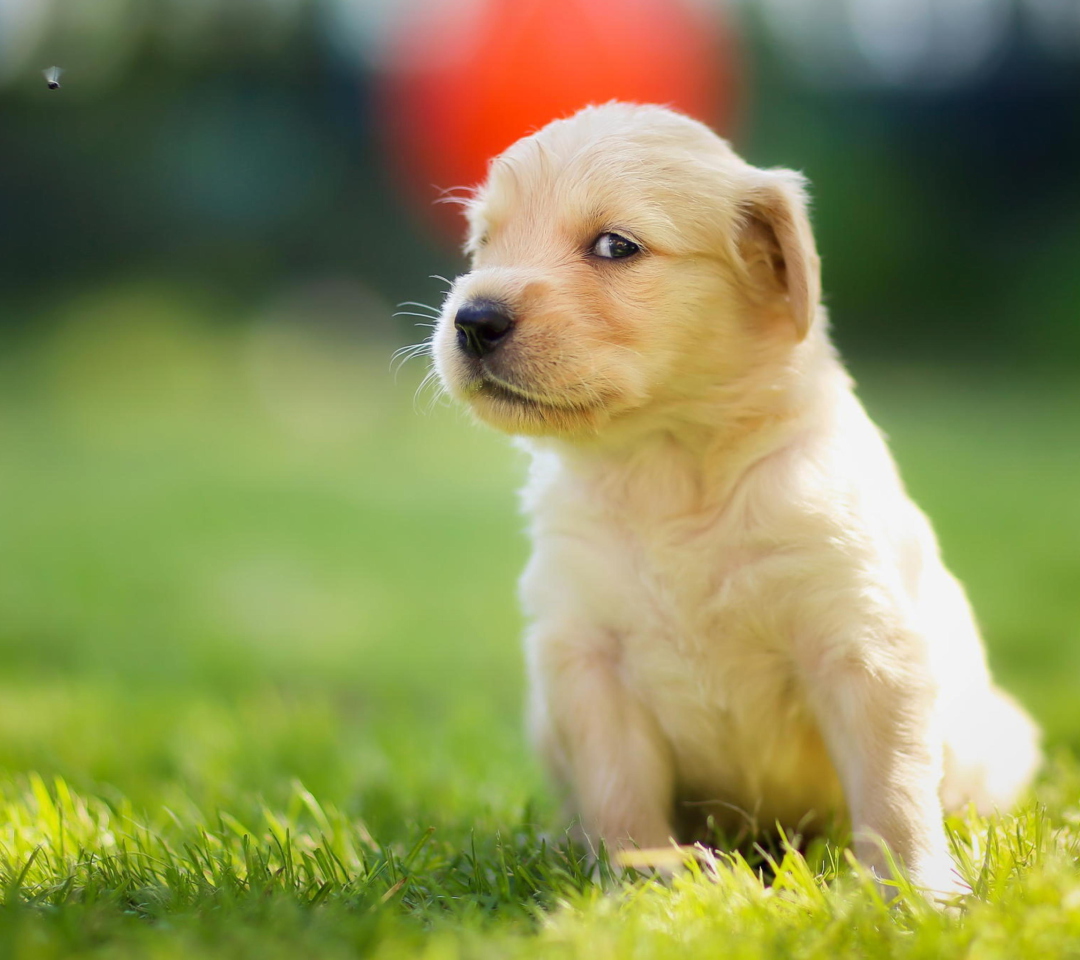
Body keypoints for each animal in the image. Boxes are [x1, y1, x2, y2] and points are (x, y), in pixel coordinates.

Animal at [427, 103, 1036, 889]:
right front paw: (646, 877)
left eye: (615, 246)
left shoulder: (863, 645)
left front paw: (915, 890)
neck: (668, 467)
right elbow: (617, 787)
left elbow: (894, 789)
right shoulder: (586, 653)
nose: (472, 320)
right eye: (483, 243)